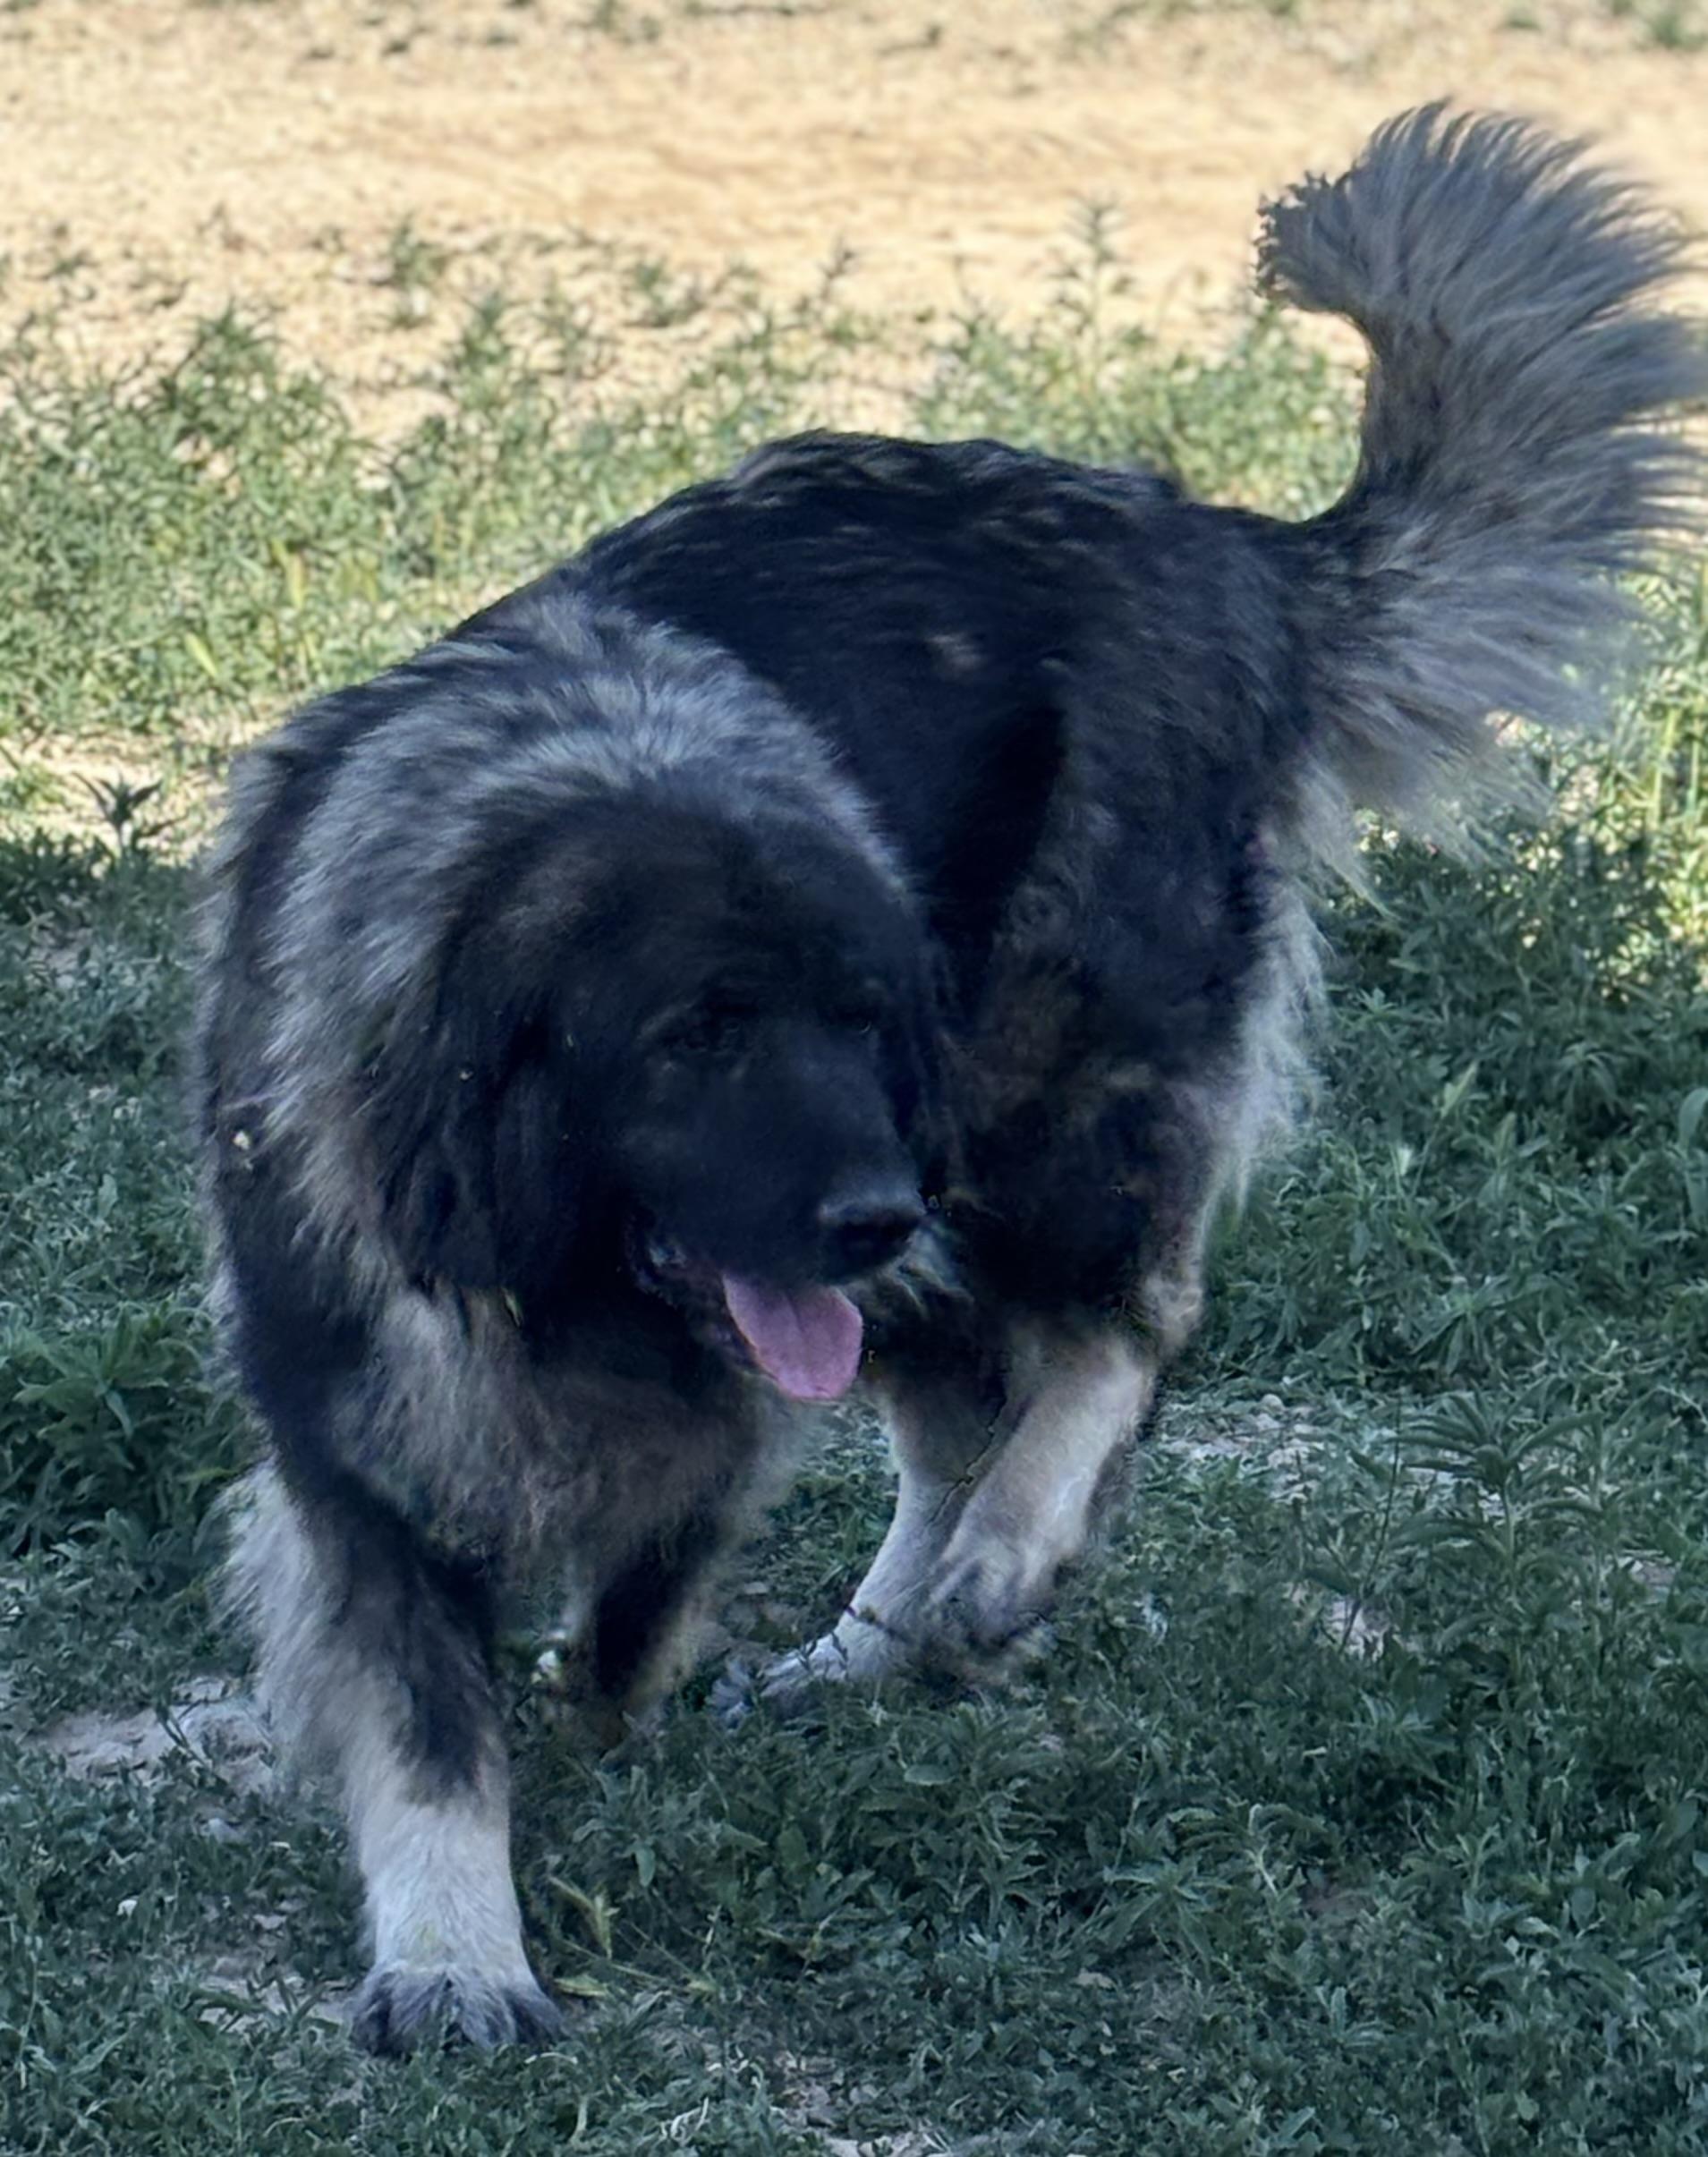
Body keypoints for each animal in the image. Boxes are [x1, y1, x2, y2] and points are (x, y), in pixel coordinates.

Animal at [195, 108, 1705, 2051]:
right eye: (693, 1035)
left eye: (858, 1013)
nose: (861, 1203)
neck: (554, 1261)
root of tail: (1212, 537)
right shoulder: (356, 1426)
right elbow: (427, 1714)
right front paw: (455, 1945)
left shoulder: (745, 1357)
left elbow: (646, 1577)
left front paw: (596, 1727)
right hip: (945, 1216)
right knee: (949, 1417)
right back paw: (876, 1639)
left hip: (1037, 1118)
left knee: (1123, 1327)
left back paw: (1003, 1556)